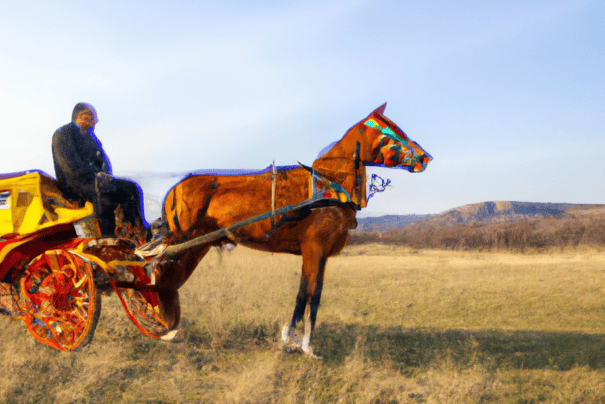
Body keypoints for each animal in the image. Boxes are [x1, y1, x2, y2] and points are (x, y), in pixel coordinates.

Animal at [153, 103, 432, 356]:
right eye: (391, 131)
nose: (425, 158)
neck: (328, 188)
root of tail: (175, 189)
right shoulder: (314, 249)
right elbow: (310, 295)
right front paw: (304, 345)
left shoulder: (318, 255)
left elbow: (307, 294)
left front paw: (293, 339)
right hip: (182, 242)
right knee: (157, 273)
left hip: (196, 245)